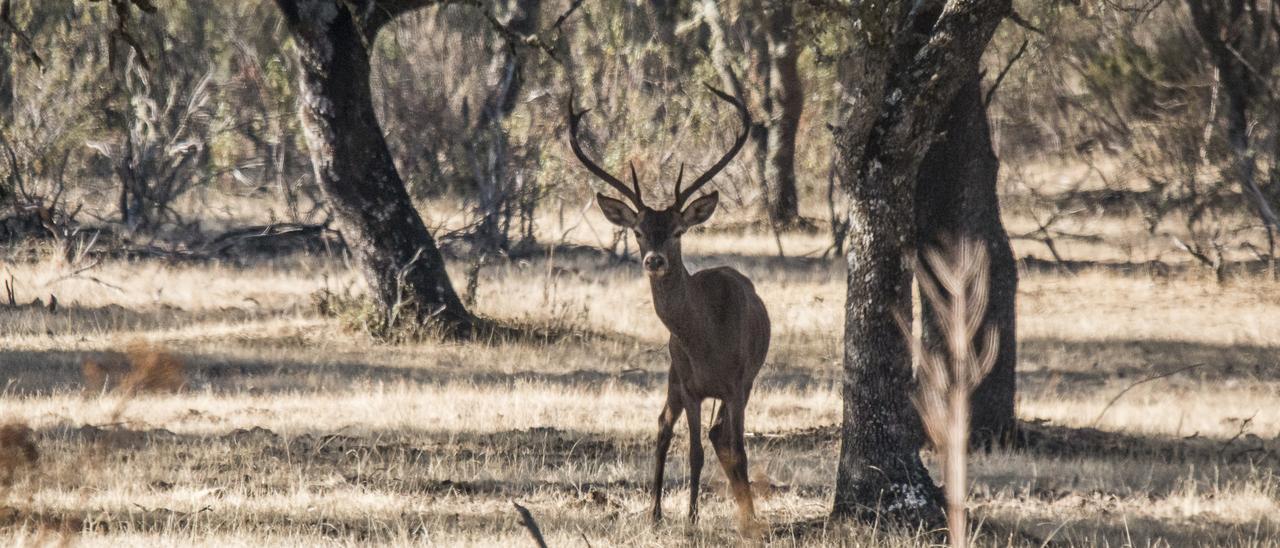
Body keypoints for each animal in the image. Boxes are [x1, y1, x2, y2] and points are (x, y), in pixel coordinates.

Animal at [568, 83, 768, 532]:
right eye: (639, 231)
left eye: (677, 231)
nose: (654, 260)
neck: (707, 339)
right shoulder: (690, 385)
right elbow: (693, 452)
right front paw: (691, 519)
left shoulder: (737, 382)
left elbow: (738, 449)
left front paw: (747, 520)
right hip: (673, 374)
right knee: (664, 425)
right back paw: (656, 512)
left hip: (738, 382)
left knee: (719, 436)